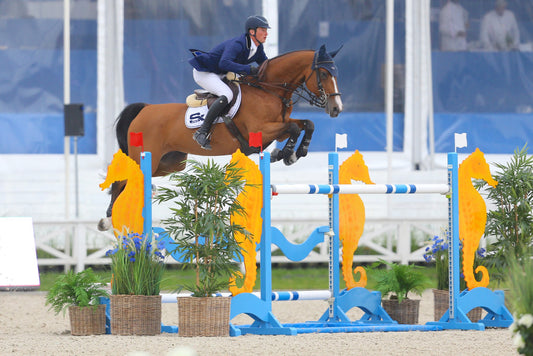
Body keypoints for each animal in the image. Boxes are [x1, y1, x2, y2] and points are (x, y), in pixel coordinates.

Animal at [97, 43, 342, 231]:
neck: (269, 90)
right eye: (323, 74)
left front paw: (293, 153)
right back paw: (107, 219)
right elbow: (293, 129)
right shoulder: (260, 131)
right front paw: (285, 154)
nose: (336, 108)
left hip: (170, 163)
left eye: (335, 73)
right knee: (121, 180)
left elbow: (306, 124)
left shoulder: (277, 127)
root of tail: (145, 110)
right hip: (146, 157)